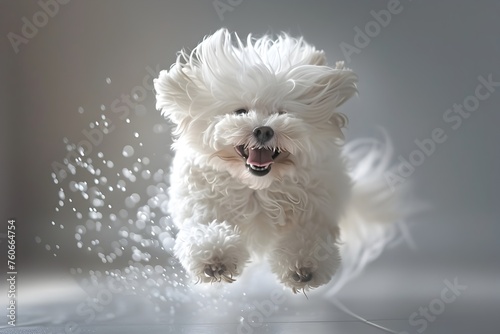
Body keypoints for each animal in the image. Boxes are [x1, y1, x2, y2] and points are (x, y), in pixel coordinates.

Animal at [155, 30, 398, 294]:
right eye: (241, 111)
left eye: (282, 113)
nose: (263, 130)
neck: (258, 189)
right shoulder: (202, 207)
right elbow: (206, 230)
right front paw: (215, 259)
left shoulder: (315, 213)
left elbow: (306, 238)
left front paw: (303, 267)